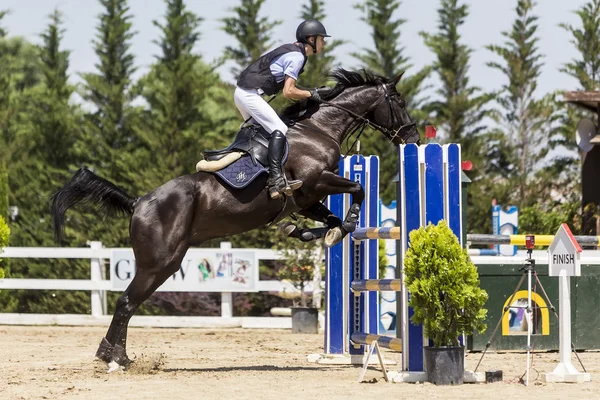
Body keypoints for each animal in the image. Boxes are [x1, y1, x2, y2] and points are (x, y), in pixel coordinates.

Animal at [51, 68, 420, 368]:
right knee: (127, 302)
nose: (415, 139)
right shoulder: (315, 182)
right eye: (399, 100)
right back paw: (112, 358)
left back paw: (117, 356)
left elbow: (329, 219)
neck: (317, 129)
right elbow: (357, 188)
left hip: (162, 264)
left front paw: (312, 231)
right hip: (160, 263)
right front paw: (344, 221)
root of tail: (139, 202)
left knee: (130, 303)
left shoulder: (306, 200)